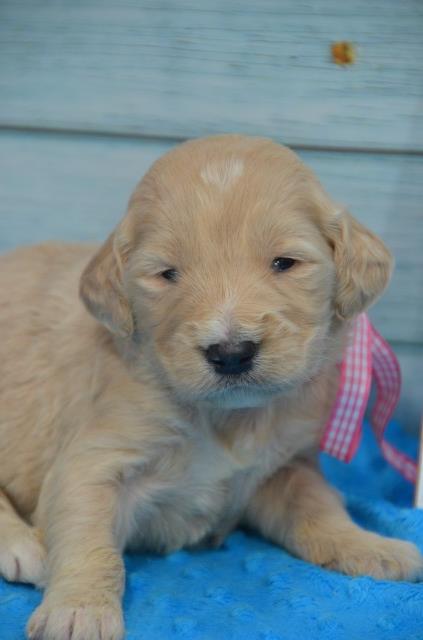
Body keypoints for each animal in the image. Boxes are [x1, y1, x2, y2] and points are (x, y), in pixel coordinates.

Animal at [0, 136, 422, 640]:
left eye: (284, 263)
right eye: (167, 274)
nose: (232, 352)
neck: (228, 417)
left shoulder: (286, 466)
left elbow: (318, 506)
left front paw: (373, 546)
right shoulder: (96, 458)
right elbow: (87, 535)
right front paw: (79, 610)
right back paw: (21, 547)